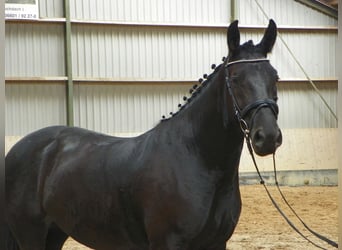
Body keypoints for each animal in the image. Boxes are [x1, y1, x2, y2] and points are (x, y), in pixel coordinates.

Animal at [5, 20, 282, 250]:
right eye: (235, 78)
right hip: (31, 234)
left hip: (56, 232)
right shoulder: (167, 243)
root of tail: (18, 149)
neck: (198, 160)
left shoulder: (216, 244)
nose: (267, 136)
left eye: (275, 77)